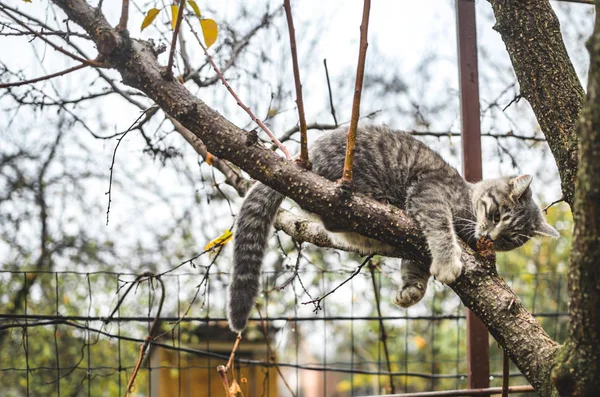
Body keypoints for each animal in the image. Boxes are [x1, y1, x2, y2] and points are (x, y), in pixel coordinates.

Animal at [226, 126, 556, 332]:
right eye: (497, 214)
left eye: (509, 239)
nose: (489, 237)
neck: (465, 197)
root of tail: (300, 160)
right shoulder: (429, 194)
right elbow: (441, 229)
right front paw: (448, 263)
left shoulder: (417, 248)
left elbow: (416, 266)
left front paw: (411, 291)